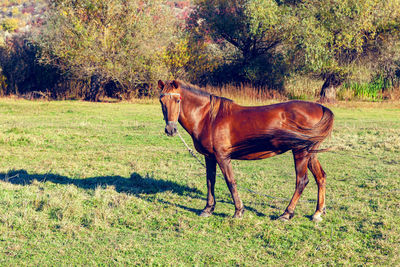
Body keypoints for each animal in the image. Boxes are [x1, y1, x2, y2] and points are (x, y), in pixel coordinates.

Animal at [158, 80, 332, 223]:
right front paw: (208, 209)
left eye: (178, 100)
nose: (170, 129)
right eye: (161, 101)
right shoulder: (210, 157)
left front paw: (238, 211)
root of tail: (320, 107)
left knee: (301, 181)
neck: (208, 118)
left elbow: (230, 182)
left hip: (300, 152)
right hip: (310, 153)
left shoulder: (222, 157)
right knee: (321, 177)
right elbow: (210, 181)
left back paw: (286, 214)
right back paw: (317, 213)